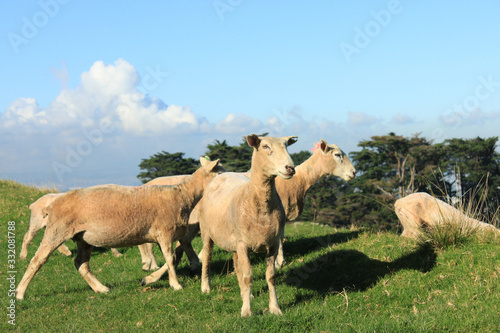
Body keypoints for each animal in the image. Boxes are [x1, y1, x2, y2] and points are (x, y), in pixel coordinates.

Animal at [16, 157, 223, 300]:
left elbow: (176, 257)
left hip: (83, 238)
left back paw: (100, 288)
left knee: (81, 263)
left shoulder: (172, 234)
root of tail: (51, 204)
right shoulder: (164, 232)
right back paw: (20, 292)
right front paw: (176, 285)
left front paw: (151, 278)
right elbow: (171, 259)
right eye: (220, 173)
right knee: (38, 260)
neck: (183, 195)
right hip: (57, 230)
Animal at [197, 134, 296, 316]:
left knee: (237, 267)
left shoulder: (271, 244)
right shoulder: (243, 245)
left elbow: (270, 276)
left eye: (287, 145)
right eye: (265, 146)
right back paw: (206, 287)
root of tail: (222, 174)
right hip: (207, 232)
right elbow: (248, 276)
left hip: (235, 242)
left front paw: (275, 308)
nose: (290, 168)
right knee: (207, 256)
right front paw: (247, 311)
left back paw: (246, 295)